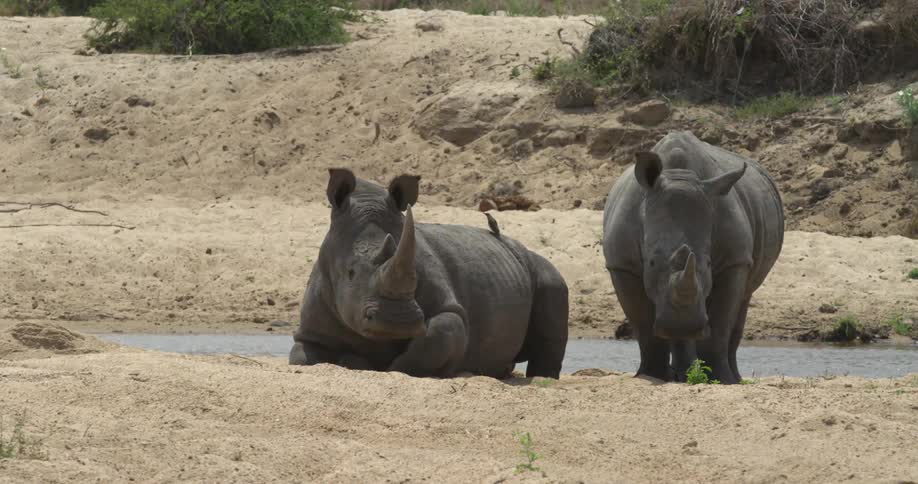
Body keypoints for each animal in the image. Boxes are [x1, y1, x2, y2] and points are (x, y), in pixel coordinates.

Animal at [289, 169, 569, 379]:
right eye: (350, 272)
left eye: (415, 271)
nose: (398, 321)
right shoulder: (312, 329)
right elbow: (301, 356)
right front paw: (356, 360)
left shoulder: (451, 310)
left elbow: (439, 334)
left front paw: (388, 366)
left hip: (538, 266)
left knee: (552, 287)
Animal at [602, 132, 784, 384]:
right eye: (651, 262)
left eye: (708, 263)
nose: (683, 325)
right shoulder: (622, 264)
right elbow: (643, 325)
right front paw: (651, 375)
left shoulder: (734, 260)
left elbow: (720, 323)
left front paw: (722, 379)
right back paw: (680, 372)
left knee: (743, 300)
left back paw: (731, 376)